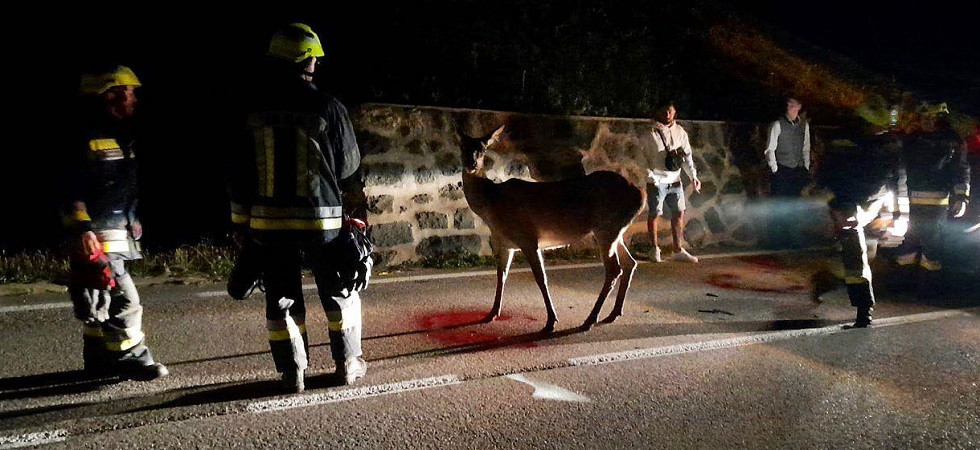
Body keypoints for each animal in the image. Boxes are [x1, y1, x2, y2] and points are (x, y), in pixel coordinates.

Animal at [457, 125, 645, 333]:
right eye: (462, 146)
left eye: (482, 149)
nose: (471, 164)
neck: (491, 206)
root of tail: (640, 195)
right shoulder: (505, 243)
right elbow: (501, 275)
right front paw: (491, 313)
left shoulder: (527, 237)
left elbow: (541, 278)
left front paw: (551, 321)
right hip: (615, 230)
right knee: (629, 263)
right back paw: (613, 313)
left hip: (607, 228)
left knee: (614, 269)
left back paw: (590, 319)